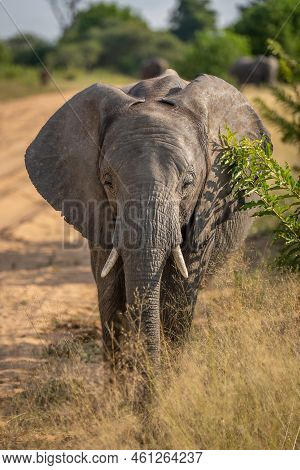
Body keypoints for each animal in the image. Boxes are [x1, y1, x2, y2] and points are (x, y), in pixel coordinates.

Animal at [25, 70, 270, 366]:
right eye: (108, 182)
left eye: (188, 184)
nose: (147, 372)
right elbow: (110, 293)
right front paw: (123, 378)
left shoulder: (207, 207)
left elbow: (180, 292)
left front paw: (168, 376)